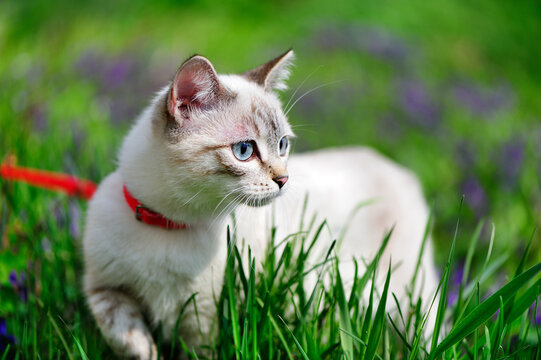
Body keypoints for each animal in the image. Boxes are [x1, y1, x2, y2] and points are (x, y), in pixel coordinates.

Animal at [84, 49, 438, 358]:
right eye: (244, 150)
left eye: (282, 145)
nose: (284, 179)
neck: (171, 224)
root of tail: (396, 167)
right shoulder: (103, 285)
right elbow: (119, 328)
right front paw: (144, 350)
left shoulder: (203, 319)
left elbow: (198, 353)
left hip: (404, 291)